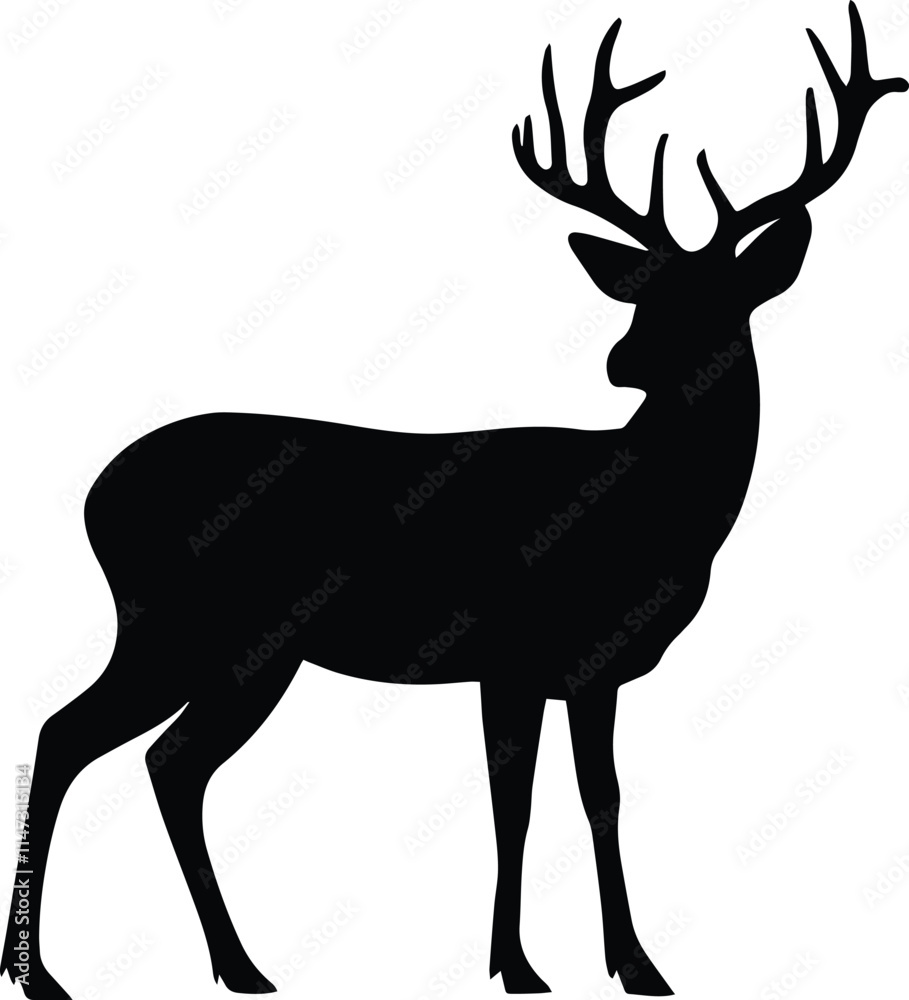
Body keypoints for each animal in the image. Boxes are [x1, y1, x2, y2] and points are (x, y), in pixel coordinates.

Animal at [2, 4, 904, 998]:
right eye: (643, 294)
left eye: (716, 298)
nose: (621, 361)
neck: (648, 514)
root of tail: (95, 494)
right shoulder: (511, 651)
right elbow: (516, 802)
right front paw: (524, 965)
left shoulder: (582, 668)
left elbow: (595, 798)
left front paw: (626, 963)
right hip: (194, 629)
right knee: (78, 736)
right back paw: (58, 972)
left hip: (225, 646)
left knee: (155, 759)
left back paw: (220, 966)